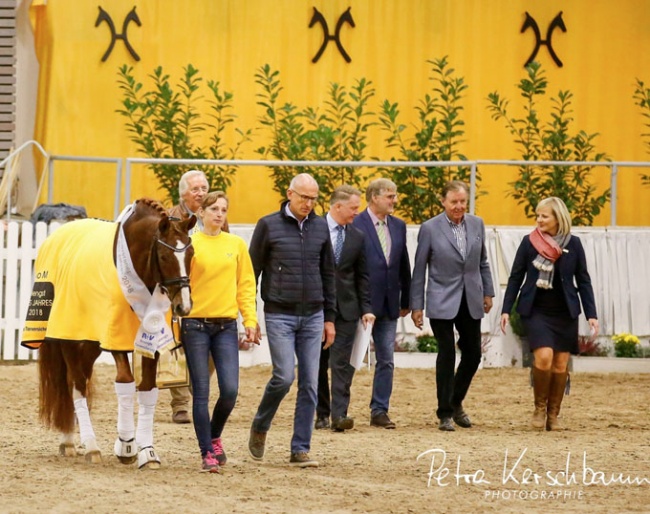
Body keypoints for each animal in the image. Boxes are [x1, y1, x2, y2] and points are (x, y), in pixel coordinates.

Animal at [22, 197, 195, 468]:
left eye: (191, 254)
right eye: (165, 256)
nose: (183, 306)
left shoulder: (152, 342)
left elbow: (148, 389)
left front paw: (148, 452)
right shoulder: (116, 339)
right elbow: (125, 383)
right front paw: (126, 446)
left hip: (89, 342)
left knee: (77, 381)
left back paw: (70, 440)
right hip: (69, 339)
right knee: (76, 385)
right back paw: (89, 446)